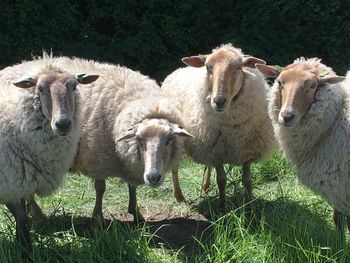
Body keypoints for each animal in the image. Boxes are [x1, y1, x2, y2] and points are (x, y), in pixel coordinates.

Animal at [0, 57, 99, 250]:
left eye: (74, 86)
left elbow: (22, 218)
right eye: (39, 88)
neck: (16, 127)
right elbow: (21, 219)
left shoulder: (19, 183)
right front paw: (26, 249)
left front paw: (22, 245)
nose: (63, 124)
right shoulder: (10, 184)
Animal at [28, 56, 194, 224]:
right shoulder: (98, 159)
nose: (153, 177)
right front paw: (98, 217)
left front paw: (136, 213)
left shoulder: (128, 162)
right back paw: (37, 214)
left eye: (169, 139)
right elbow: (100, 188)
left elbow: (132, 187)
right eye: (139, 140)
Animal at [161, 44, 276, 211]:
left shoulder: (244, 150)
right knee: (175, 168)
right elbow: (221, 180)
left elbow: (247, 180)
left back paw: (205, 187)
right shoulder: (217, 153)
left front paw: (250, 207)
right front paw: (223, 208)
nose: (218, 101)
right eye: (208, 67)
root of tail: (177, 70)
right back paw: (179, 196)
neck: (232, 129)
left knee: (207, 167)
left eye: (238, 67)